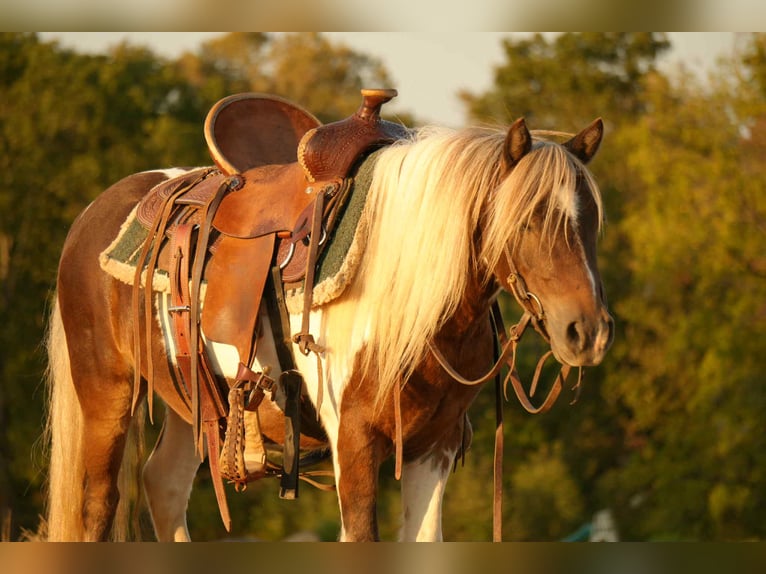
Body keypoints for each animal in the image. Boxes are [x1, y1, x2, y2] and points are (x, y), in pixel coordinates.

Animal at [44, 113, 613, 541]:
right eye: (529, 220)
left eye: (590, 222)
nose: (587, 332)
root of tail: (92, 216)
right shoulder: (354, 440)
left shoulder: (436, 444)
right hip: (105, 393)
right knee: (99, 502)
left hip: (193, 402)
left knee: (162, 487)